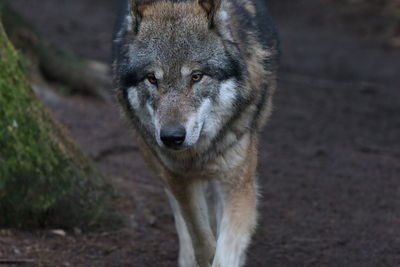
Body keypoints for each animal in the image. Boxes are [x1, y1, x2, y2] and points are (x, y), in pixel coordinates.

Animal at [112, 0, 280, 266]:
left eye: (196, 76)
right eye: (152, 79)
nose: (171, 137)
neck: (200, 152)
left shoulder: (238, 183)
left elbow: (225, 250)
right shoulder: (177, 175)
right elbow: (198, 232)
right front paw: (202, 252)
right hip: (153, 157)